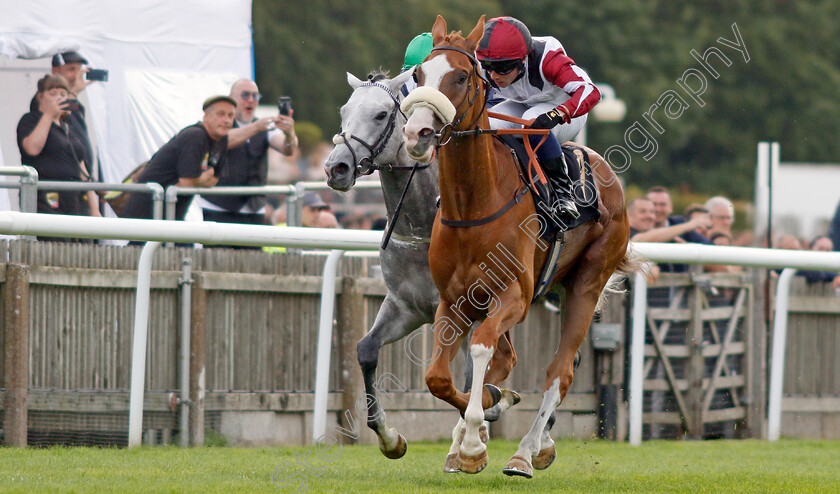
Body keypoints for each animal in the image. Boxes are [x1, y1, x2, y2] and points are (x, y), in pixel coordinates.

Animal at [404, 16, 640, 478]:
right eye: (419, 75)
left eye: (461, 76)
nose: (416, 132)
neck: (475, 203)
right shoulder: (454, 300)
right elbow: (438, 377)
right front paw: (480, 422)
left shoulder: (513, 293)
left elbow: (480, 348)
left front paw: (475, 443)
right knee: (510, 359)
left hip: (586, 283)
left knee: (560, 372)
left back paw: (526, 453)